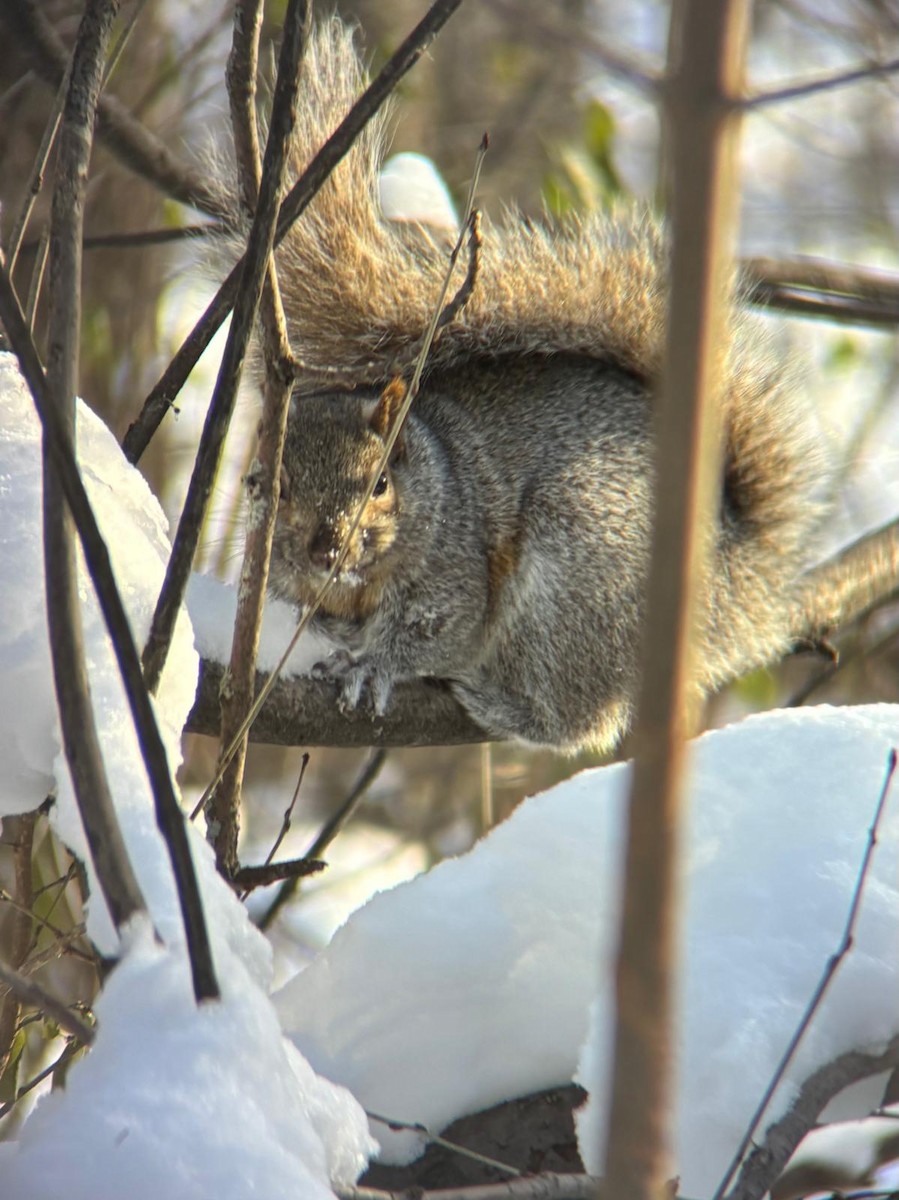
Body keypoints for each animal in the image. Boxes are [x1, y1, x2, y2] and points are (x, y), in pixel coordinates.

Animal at [263, 19, 834, 754]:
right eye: (273, 487)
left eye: (382, 481)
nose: (329, 546)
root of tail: (736, 580)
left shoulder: (456, 571)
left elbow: (433, 628)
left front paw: (373, 664)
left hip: (578, 581)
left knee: (577, 720)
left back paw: (503, 704)